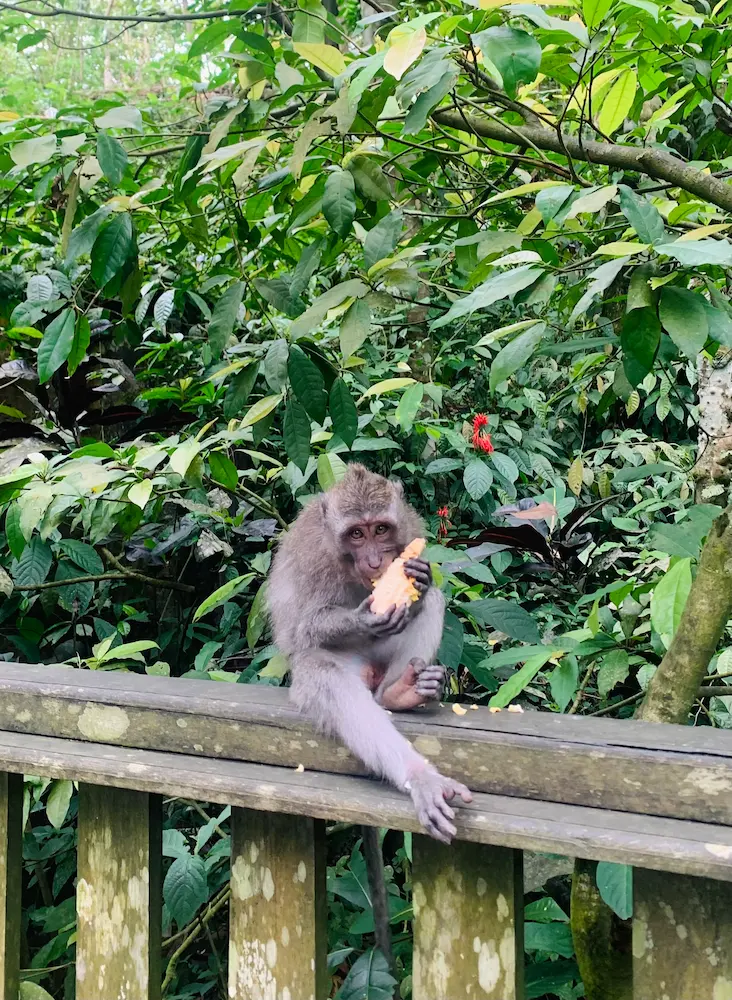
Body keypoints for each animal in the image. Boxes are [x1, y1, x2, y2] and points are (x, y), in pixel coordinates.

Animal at [268, 463, 473, 844]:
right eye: (356, 535)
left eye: (380, 529)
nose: (377, 560)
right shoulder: (314, 557)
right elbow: (303, 628)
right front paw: (362, 618)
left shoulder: (409, 529)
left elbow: (425, 591)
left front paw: (421, 579)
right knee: (326, 675)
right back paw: (419, 775)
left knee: (433, 603)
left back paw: (398, 693)